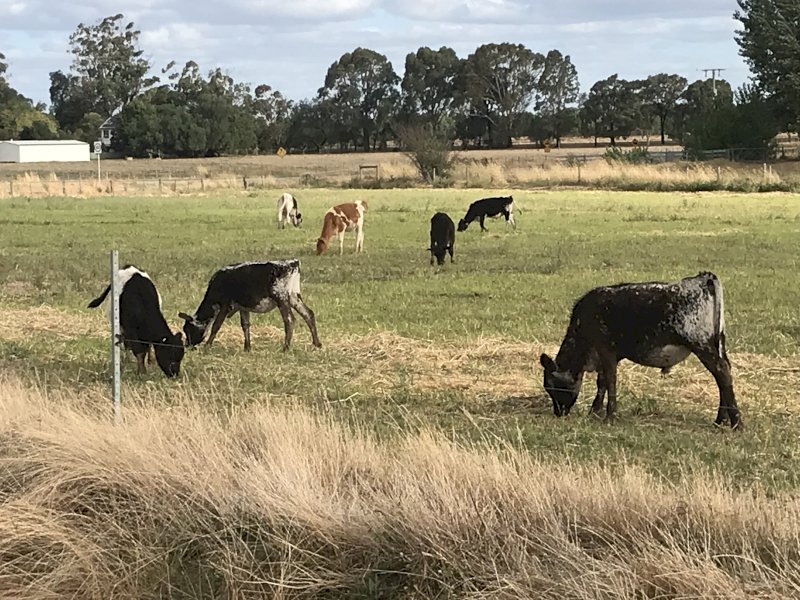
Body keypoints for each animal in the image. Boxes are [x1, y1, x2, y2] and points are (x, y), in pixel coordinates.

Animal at [178, 259, 321, 352]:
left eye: (187, 329)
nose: (188, 346)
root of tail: (291, 263)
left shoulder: (225, 305)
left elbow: (216, 326)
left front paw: (207, 346)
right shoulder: (243, 307)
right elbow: (245, 325)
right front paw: (247, 348)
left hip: (281, 298)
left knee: (290, 320)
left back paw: (285, 348)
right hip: (294, 297)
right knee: (308, 314)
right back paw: (317, 344)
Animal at [539, 272, 740, 428]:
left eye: (553, 387)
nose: (559, 413)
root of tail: (702, 278)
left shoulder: (606, 351)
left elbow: (610, 381)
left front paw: (609, 416)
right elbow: (602, 382)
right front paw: (594, 412)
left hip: (701, 344)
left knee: (722, 373)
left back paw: (737, 423)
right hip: (718, 343)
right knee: (724, 376)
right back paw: (720, 421)